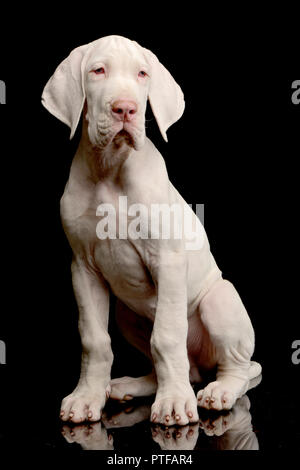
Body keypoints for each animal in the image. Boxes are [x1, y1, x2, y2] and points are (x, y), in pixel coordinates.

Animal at [41, 35, 262, 426]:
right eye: (98, 71)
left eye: (142, 74)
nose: (125, 109)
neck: (110, 168)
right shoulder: (82, 268)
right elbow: (94, 340)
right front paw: (87, 396)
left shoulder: (168, 260)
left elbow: (168, 337)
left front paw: (173, 403)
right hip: (127, 315)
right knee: (181, 368)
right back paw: (130, 385)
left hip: (219, 300)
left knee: (240, 368)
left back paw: (218, 391)